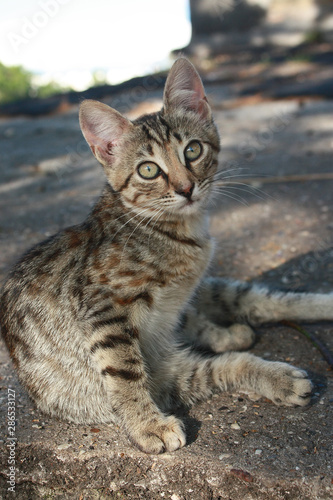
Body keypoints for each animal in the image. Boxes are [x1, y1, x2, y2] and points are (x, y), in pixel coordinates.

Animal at [0, 57, 332, 454]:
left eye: (192, 150)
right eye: (148, 170)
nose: (186, 188)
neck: (176, 230)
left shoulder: (182, 291)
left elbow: (201, 314)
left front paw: (217, 332)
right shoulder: (102, 308)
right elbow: (124, 374)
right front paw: (147, 425)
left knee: (258, 302)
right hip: (161, 378)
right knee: (221, 365)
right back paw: (268, 370)